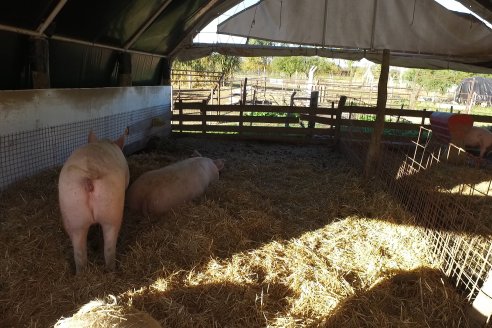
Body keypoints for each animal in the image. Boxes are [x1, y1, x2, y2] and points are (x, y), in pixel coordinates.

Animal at [57, 129, 130, 272]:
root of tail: (90, 172)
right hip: (112, 212)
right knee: (109, 248)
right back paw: (111, 270)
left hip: (73, 211)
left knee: (79, 253)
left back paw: (82, 273)